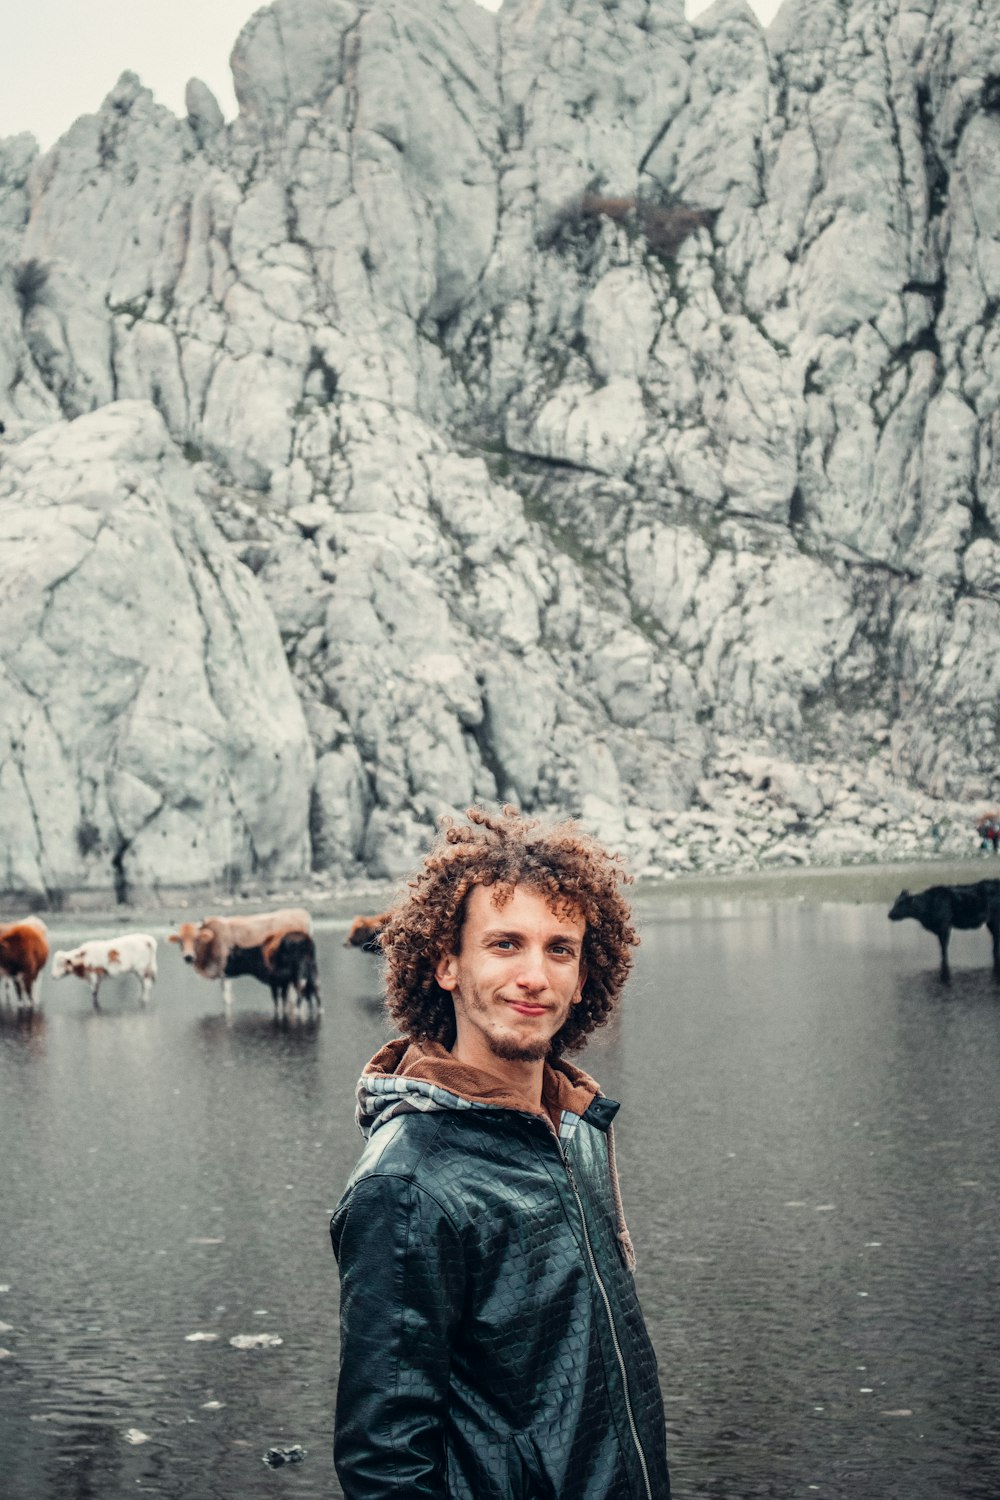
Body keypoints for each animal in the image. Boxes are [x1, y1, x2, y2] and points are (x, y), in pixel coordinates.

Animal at [167, 906, 310, 1002]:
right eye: (180, 940)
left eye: (196, 938)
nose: (188, 957)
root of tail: (302, 913)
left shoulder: (224, 972)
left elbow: (226, 997)